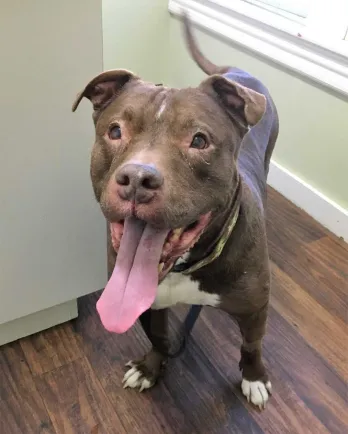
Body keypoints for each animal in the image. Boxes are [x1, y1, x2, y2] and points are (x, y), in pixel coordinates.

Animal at [72, 14, 278, 410]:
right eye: (115, 131)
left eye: (199, 140)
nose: (137, 179)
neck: (186, 266)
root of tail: (236, 70)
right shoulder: (146, 305)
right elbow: (159, 337)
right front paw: (151, 367)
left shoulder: (254, 309)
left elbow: (252, 345)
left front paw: (254, 377)